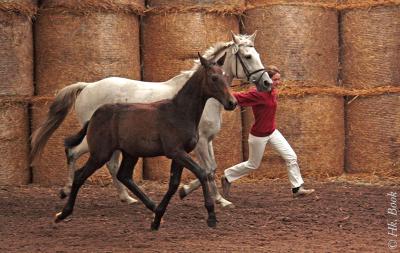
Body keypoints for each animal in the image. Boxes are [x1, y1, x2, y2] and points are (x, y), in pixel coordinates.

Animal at [31, 31, 272, 209]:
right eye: (248, 56)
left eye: (258, 53)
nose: (267, 83)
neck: (202, 98)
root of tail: (87, 86)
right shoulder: (201, 142)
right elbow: (209, 168)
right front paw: (196, 194)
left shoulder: (207, 141)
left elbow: (211, 168)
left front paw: (214, 198)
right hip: (96, 140)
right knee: (73, 152)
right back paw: (66, 190)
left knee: (111, 164)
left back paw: (127, 198)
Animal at [56, 52, 238, 230]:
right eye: (214, 77)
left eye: (225, 75)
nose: (232, 102)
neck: (180, 112)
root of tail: (94, 116)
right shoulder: (176, 152)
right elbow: (202, 172)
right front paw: (211, 216)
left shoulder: (180, 154)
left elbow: (174, 184)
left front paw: (157, 218)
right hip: (100, 153)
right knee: (80, 174)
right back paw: (63, 212)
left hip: (130, 153)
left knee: (124, 175)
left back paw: (151, 206)